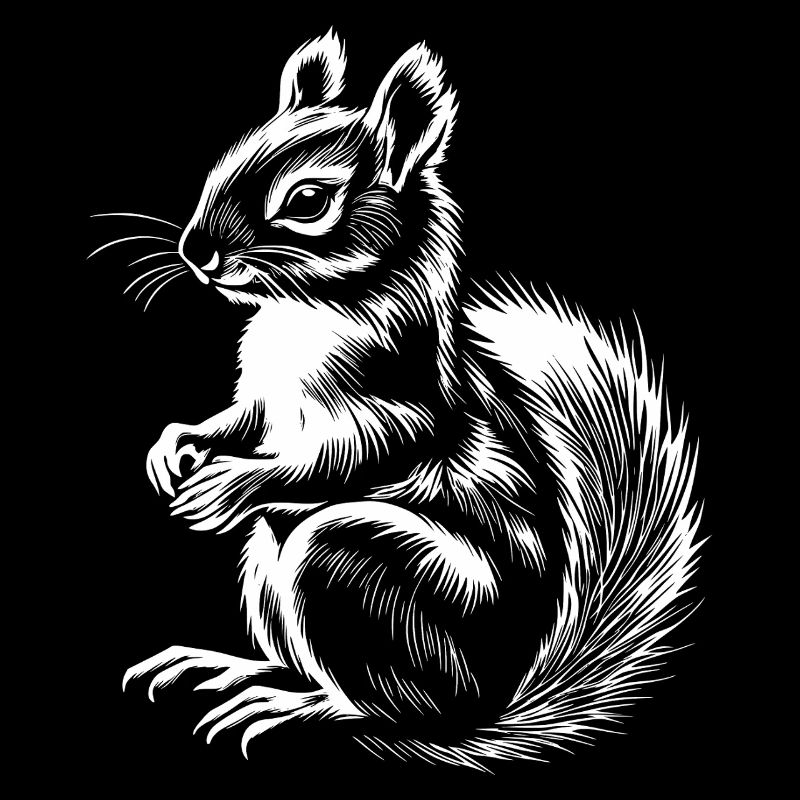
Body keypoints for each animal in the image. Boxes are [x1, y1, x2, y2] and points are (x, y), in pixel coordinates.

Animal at [116, 31, 702, 769]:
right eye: (225, 161)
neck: (299, 315)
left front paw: (230, 485)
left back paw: (294, 707)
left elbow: (349, 456)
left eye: (307, 201)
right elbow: (237, 421)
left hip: (354, 568)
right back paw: (232, 668)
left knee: (393, 711)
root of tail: (493, 705)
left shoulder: (404, 407)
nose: (197, 252)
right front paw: (174, 446)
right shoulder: (262, 398)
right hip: (268, 568)